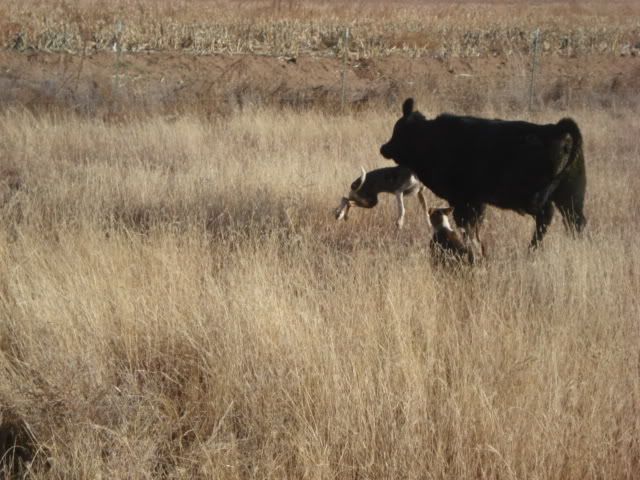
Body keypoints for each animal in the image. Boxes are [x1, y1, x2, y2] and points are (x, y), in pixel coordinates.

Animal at [380, 98, 587, 249]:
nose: (384, 148)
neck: (431, 139)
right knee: (576, 222)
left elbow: (468, 225)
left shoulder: (465, 199)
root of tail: (557, 129)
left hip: (535, 197)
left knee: (546, 218)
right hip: (571, 197)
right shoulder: (476, 202)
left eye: (399, 131)